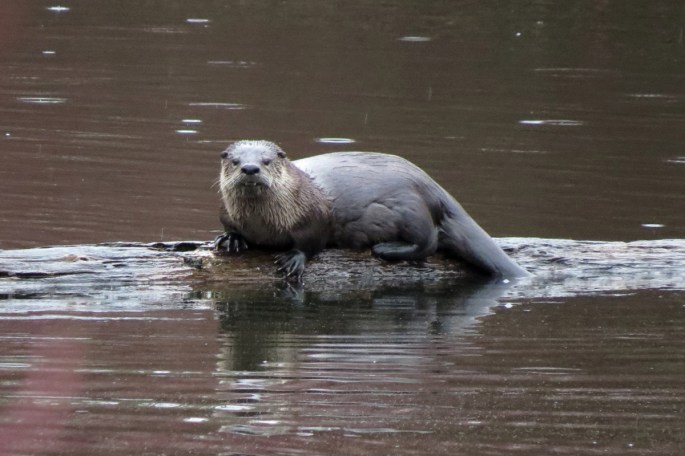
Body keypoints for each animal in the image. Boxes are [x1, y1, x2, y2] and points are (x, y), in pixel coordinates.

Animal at [215, 140, 530, 281]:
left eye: (267, 161)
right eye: (234, 161)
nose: (250, 168)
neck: (262, 225)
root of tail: (435, 189)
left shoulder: (313, 218)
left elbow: (312, 242)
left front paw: (295, 258)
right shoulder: (225, 212)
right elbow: (228, 227)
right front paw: (231, 239)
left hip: (411, 209)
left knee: (428, 242)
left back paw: (386, 249)